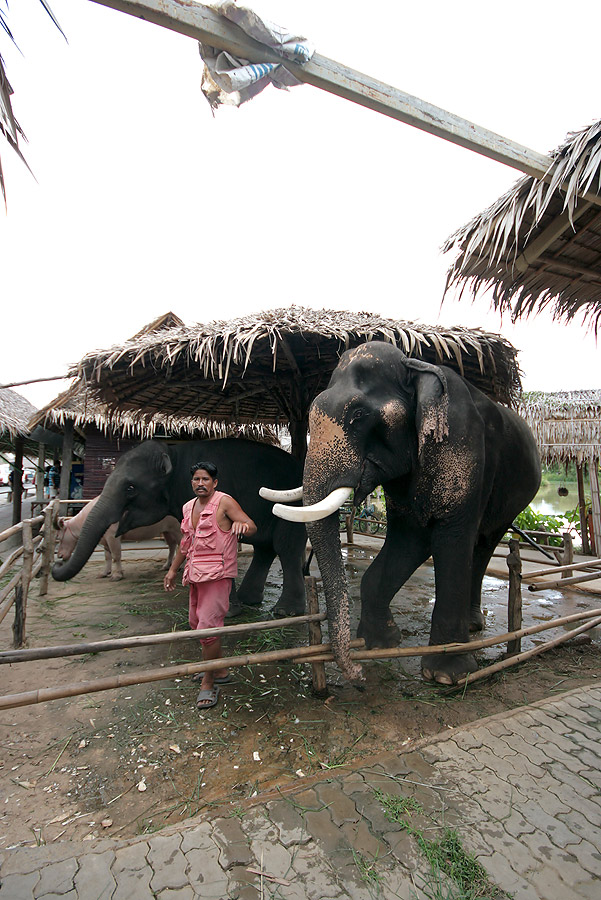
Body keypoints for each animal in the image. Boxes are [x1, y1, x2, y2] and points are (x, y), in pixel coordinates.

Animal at [52, 438, 308, 620]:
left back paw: (286, 612)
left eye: (130, 488)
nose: (57, 561)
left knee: (285, 546)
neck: (174, 453)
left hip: (293, 505)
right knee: (266, 548)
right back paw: (249, 600)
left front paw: (224, 614)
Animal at [266, 342, 540, 684]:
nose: (357, 674)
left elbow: (451, 536)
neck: (415, 365)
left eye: (358, 415)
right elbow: (409, 537)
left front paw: (446, 675)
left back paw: (471, 627)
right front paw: (379, 643)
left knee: (484, 543)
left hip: (513, 498)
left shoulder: (462, 443)